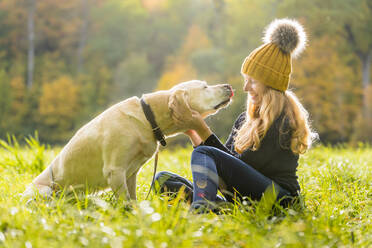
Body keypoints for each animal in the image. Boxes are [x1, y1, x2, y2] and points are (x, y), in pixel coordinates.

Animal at [23, 80, 232, 201]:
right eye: (205, 87)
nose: (228, 86)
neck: (147, 118)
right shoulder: (115, 170)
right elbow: (125, 203)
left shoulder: (131, 173)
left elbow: (132, 200)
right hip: (45, 191)